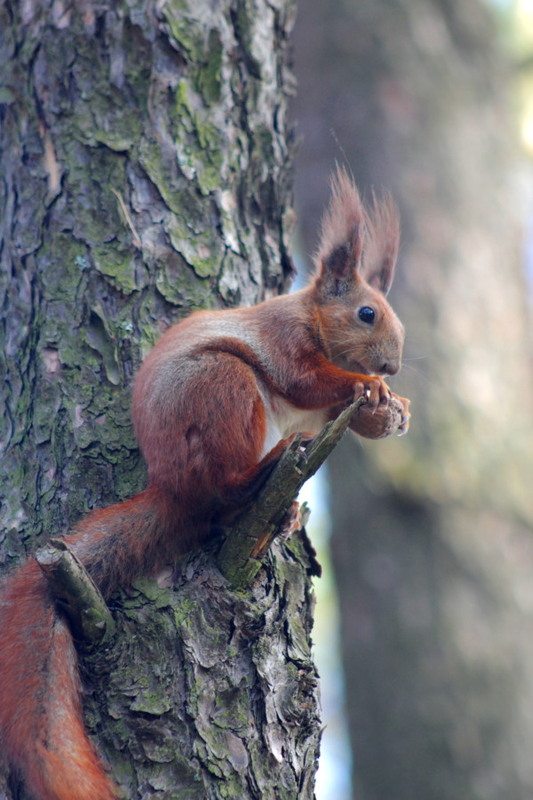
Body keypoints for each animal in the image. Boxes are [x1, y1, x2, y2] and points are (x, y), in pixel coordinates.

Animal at [0, 166, 410, 796]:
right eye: (367, 314)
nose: (391, 365)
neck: (310, 316)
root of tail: (173, 490)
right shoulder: (286, 342)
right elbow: (308, 378)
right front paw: (369, 388)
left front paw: (393, 411)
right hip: (223, 386)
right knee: (225, 485)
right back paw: (263, 471)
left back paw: (280, 511)